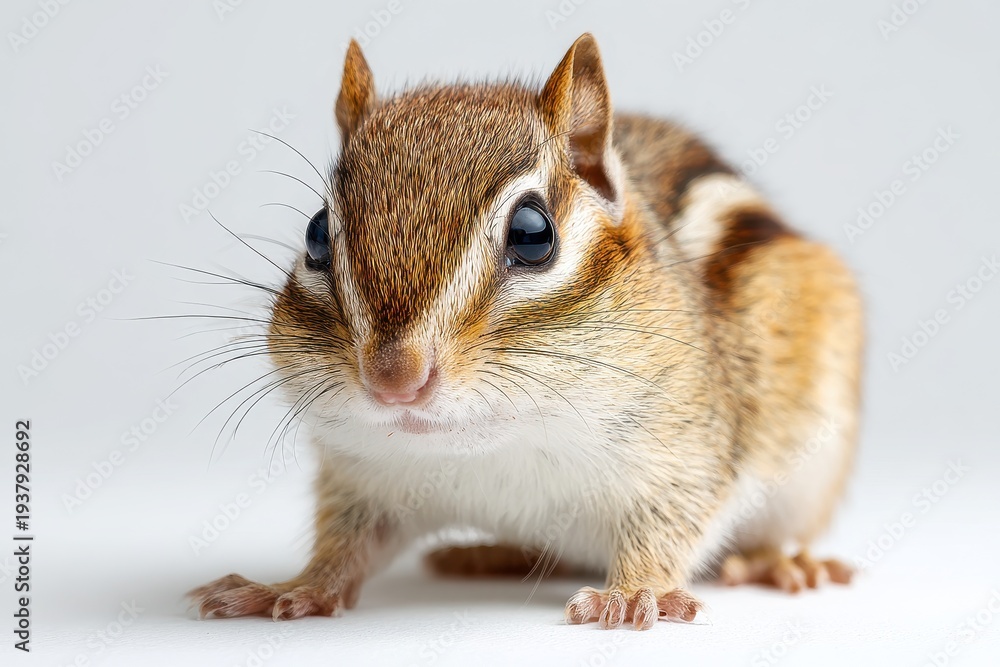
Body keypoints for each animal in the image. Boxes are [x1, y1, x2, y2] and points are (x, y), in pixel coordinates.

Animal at [189, 33, 863, 630]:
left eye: (533, 234)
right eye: (316, 234)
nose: (394, 379)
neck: (498, 445)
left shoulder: (685, 452)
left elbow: (667, 528)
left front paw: (634, 593)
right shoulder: (365, 477)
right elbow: (345, 547)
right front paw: (293, 587)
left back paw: (779, 562)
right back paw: (490, 553)